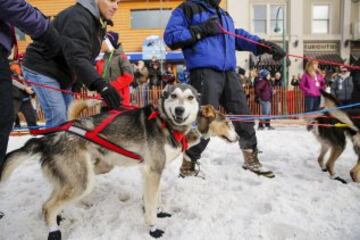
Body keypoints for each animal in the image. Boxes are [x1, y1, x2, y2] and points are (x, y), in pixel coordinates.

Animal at [1, 83, 240, 239]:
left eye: (190, 98)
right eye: (173, 96)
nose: (180, 110)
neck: (168, 124)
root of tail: (48, 137)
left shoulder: (151, 171)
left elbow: (153, 199)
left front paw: (158, 211)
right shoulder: (153, 171)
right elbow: (151, 204)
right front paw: (153, 228)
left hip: (88, 173)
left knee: (52, 197)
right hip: (82, 181)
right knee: (48, 206)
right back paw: (54, 231)